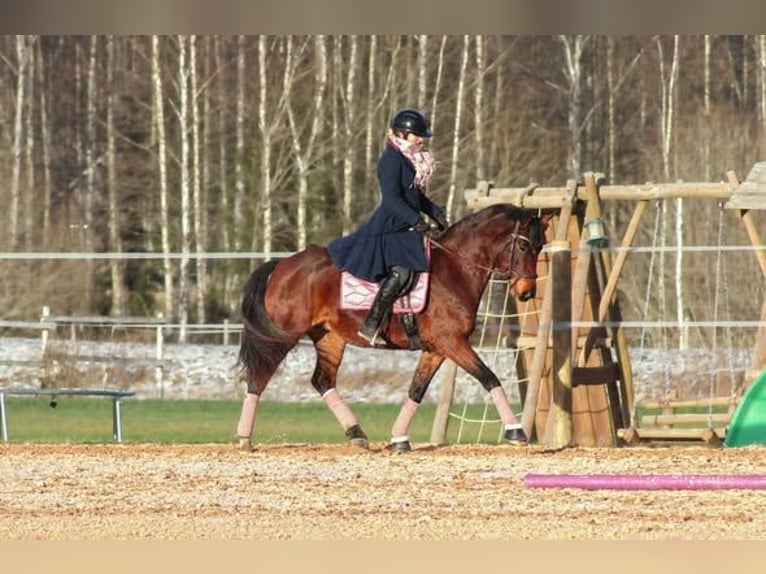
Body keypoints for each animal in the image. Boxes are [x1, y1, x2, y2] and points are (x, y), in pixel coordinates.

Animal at [236, 203, 550, 451]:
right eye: (523, 246)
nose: (526, 293)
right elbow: (489, 378)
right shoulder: (452, 342)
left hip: (330, 337)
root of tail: (282, 265)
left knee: (322, 380)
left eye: (540, 247)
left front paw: (399, 439)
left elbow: (416, 390)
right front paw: (516, 431)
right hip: (282, 336)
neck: (455, 270)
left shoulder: (437, 349)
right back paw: (244, 438)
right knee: (258, 378)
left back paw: (357, 434)